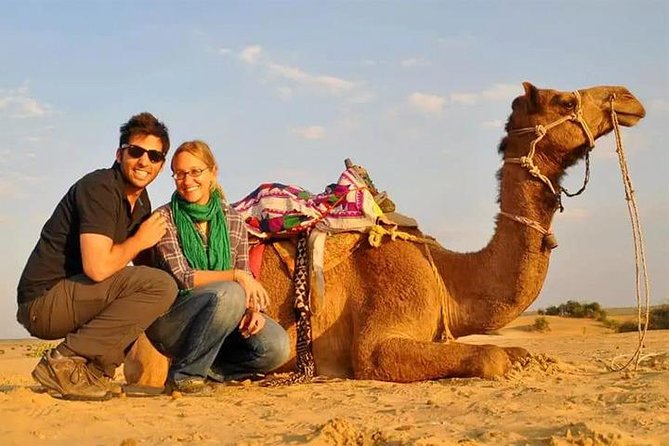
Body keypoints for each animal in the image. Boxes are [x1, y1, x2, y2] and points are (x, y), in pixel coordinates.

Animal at [124, 82, 646, 386]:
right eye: (565, 100)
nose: (627, 97)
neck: (447, 273)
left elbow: (507, 352)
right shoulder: (381, 333)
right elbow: (490, 359)